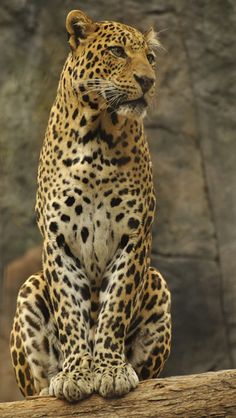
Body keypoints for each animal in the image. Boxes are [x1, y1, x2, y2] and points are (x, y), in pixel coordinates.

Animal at [9, 9, 171, 402]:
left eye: (151, 57)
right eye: (117, 51)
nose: (148, 80)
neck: (98, 135)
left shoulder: (134, 236)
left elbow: (114, 307)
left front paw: (110, 369)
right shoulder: (58, 240)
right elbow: (71, 310)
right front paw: (76, 372)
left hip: (157, 282)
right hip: (29, 288)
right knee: (34, 386)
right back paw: (49, 387)